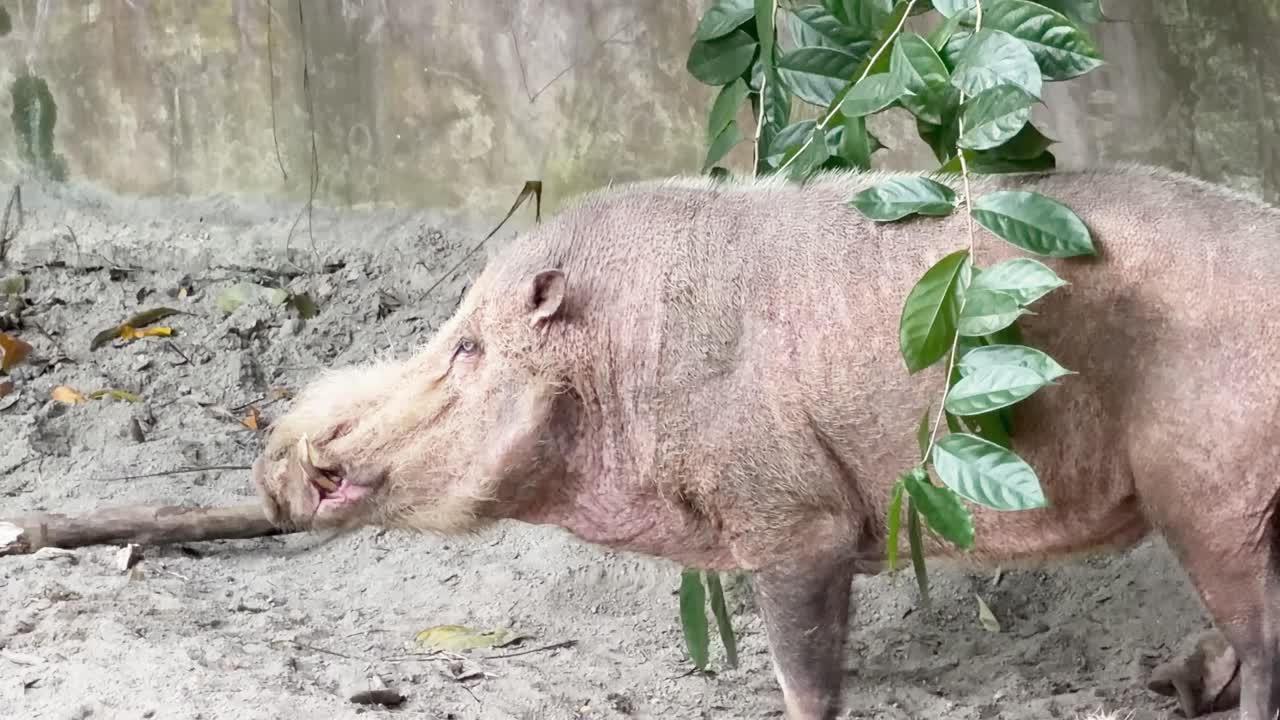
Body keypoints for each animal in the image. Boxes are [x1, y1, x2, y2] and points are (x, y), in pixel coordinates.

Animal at [253, 164, 1280, 720]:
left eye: (467, 348)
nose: (275, 458)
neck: (623, 362)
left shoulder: (794, 517)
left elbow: (805, 676)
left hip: (1214, 493)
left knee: (1264, 644)